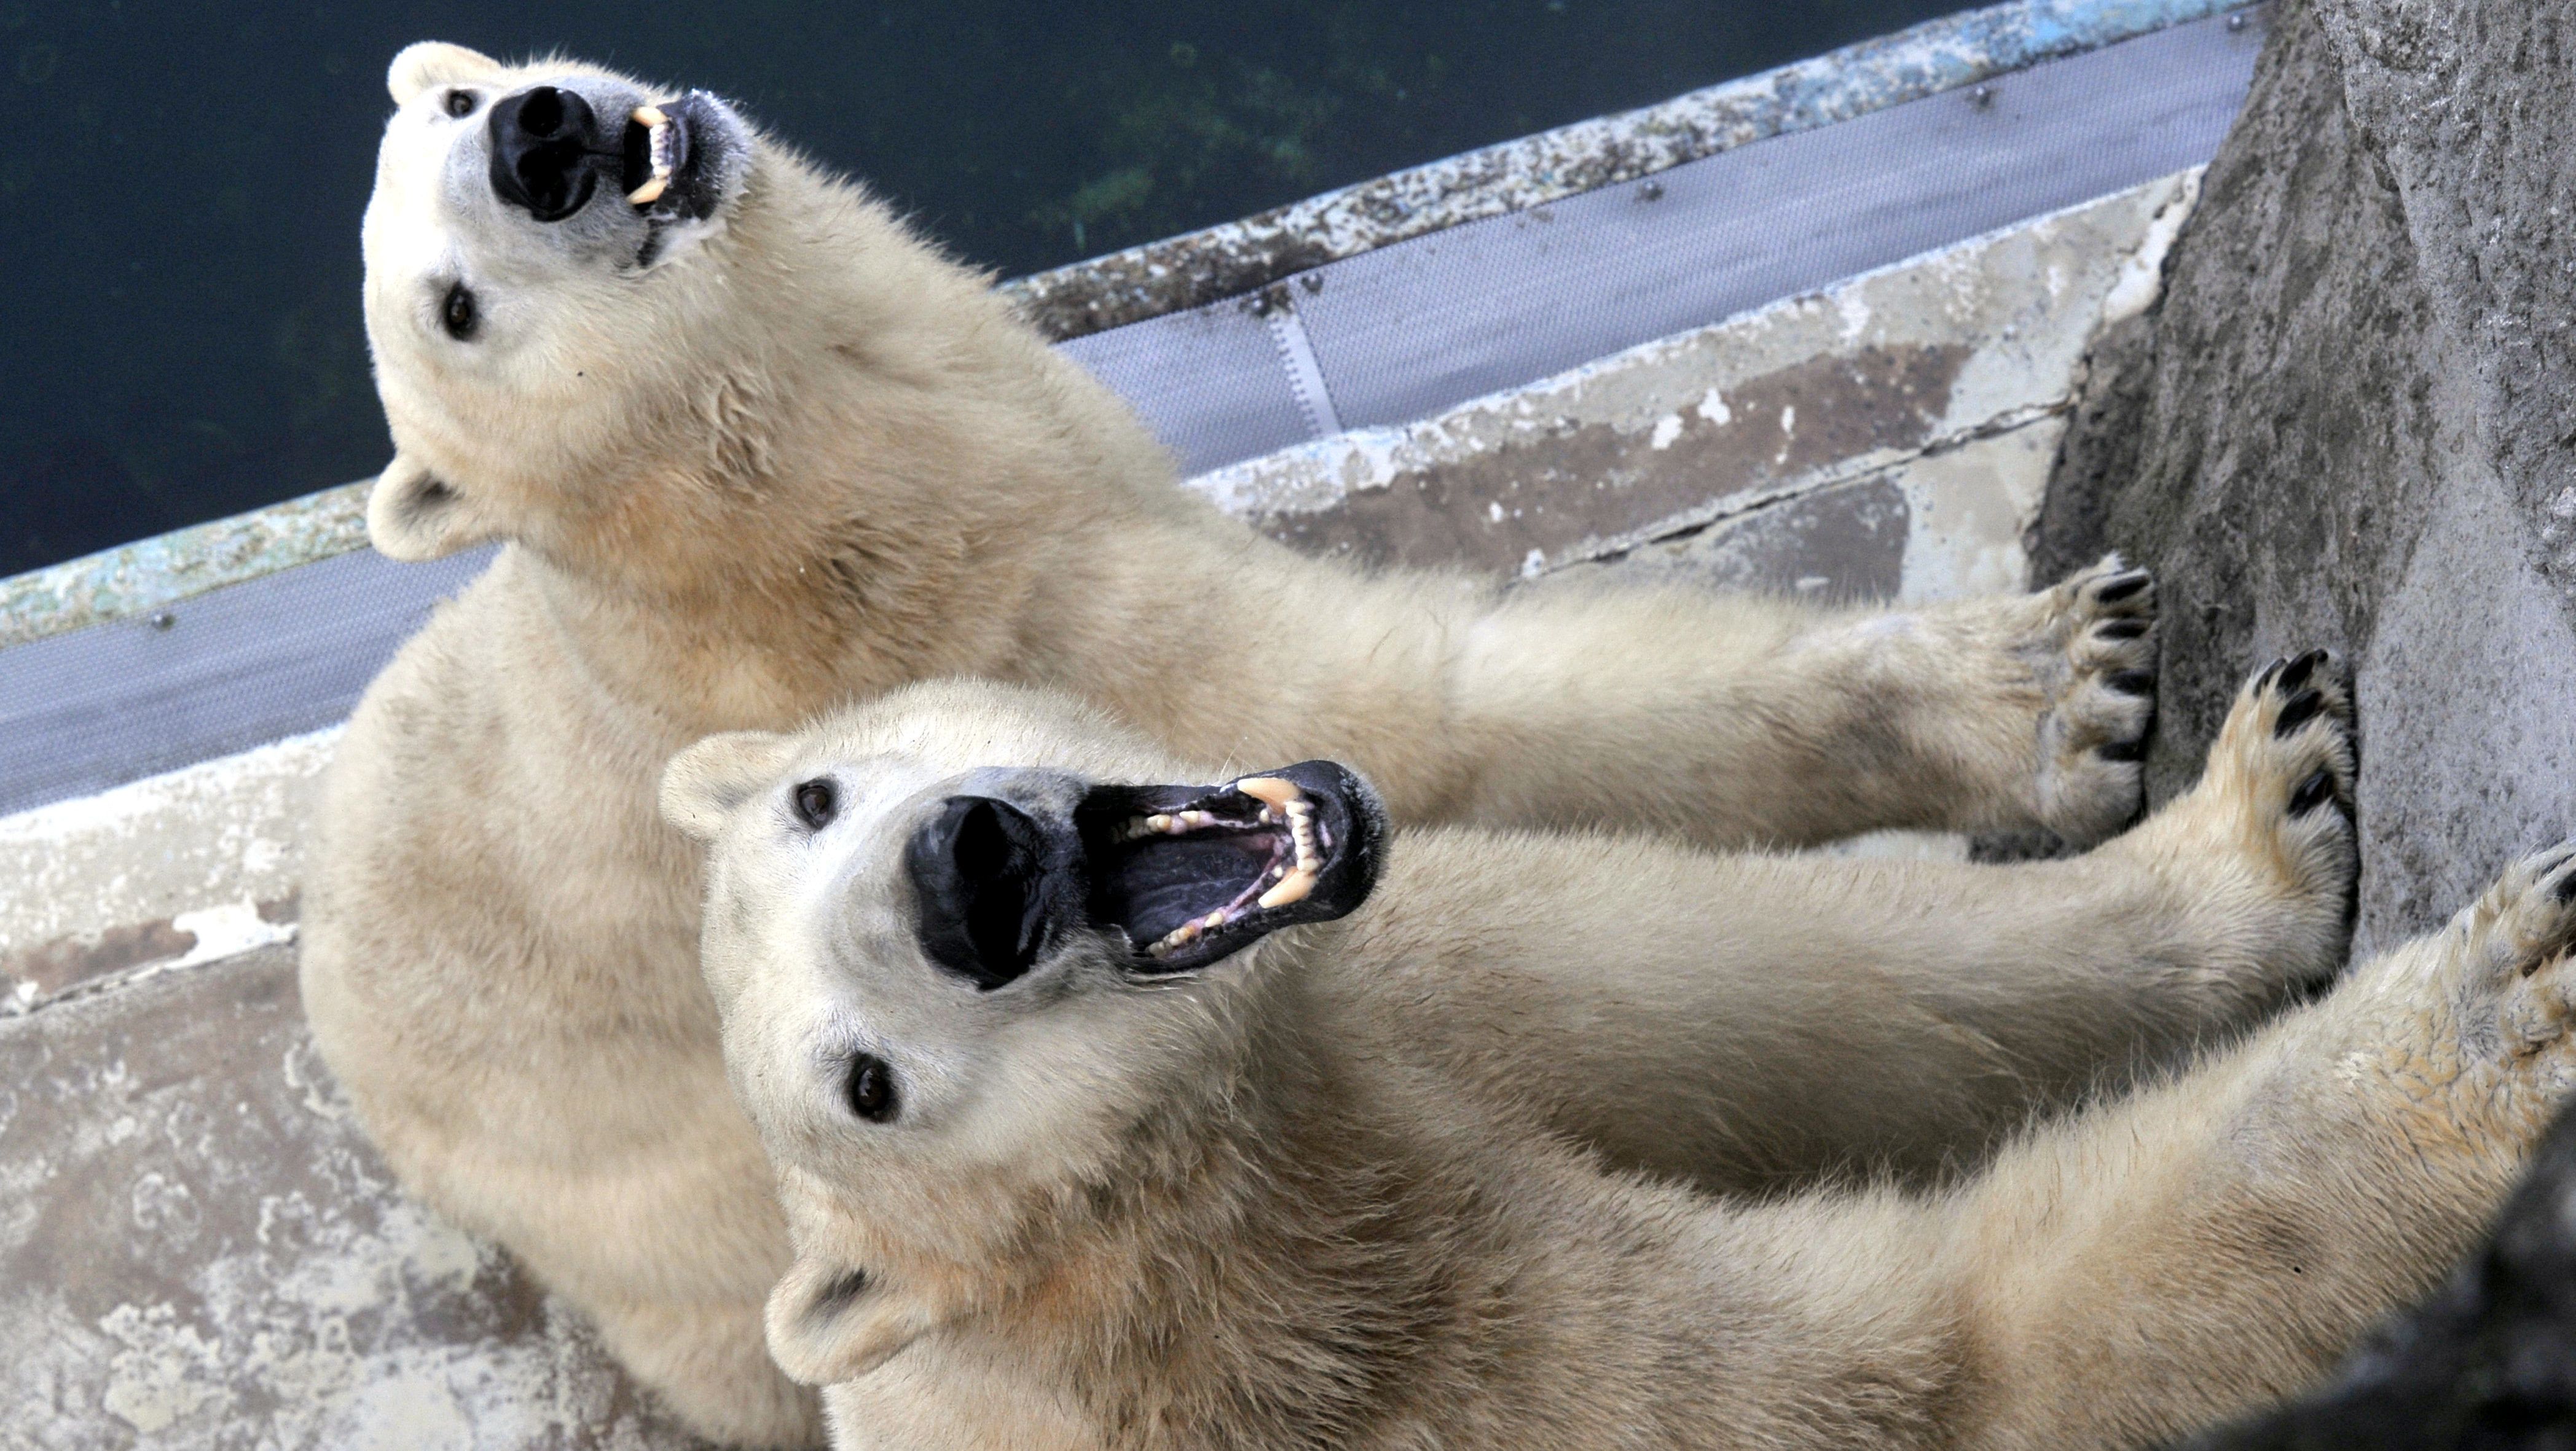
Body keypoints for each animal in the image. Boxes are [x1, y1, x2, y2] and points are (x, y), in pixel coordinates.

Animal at [316, 39, 2174, 1443]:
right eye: (453, 308)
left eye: (455, 100)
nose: (540, 136)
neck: (758, 509)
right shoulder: (987, 611)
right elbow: (1437, 709)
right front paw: (2054, 686)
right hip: (651, 1207)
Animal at [669, 670, 2576, 1451]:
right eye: (865, 1087)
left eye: (814, 795)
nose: (964, 875)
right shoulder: (1369, 1361)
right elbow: (1940, 1370)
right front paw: (2503, 1008)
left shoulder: (1390, 994)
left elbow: (1763, 979)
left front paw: (2261, 802)